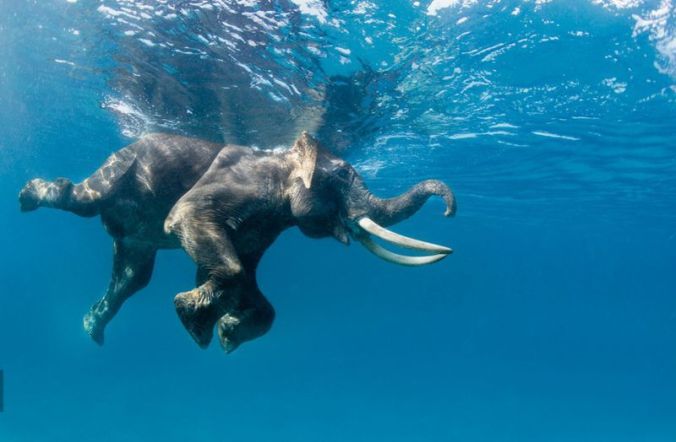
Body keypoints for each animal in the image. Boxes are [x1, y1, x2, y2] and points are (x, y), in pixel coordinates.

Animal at [19, 132, 456, 353]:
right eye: (344, 174)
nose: (449, 213)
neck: (286, 160)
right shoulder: (237, 186)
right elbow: (187, 221)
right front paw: (192, 321)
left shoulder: (265, 227)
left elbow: (247, 279)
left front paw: (226, 333)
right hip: (118, 173)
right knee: (79, 201)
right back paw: (27, 195)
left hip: (136, 240)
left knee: (133, 279)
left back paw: (92, 330)